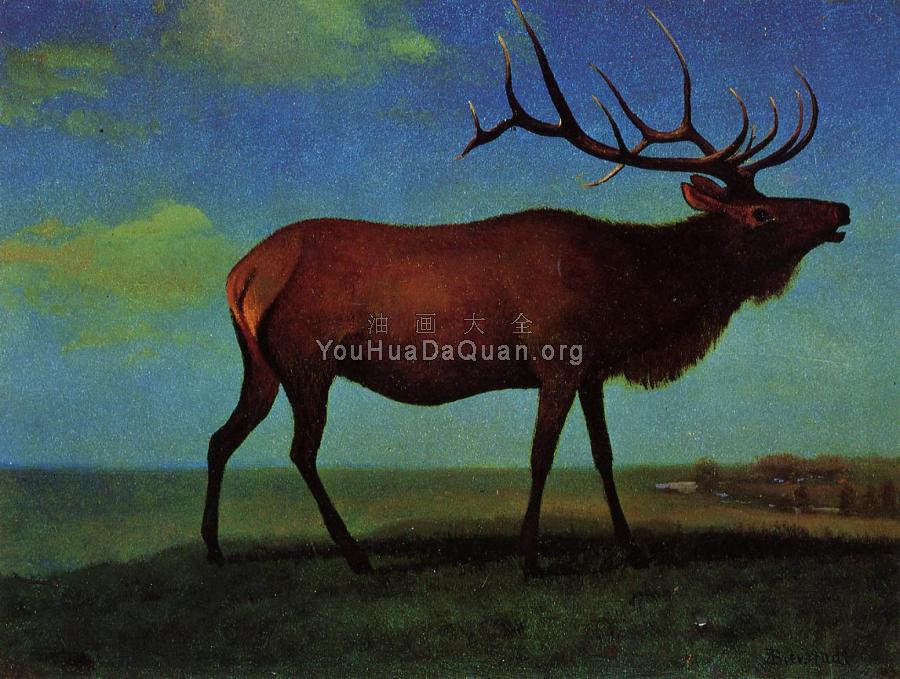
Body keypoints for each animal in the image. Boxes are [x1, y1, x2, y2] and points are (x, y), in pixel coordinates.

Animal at [201, 1, 849, 575]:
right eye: (762, 214)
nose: (840, 209)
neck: (629, 302)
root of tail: (244, 271)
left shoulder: (591, 368)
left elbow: (605, 456)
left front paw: (632, 549)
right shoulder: (556, 358)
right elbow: (541, 456)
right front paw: (530, 557)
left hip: (262, 364)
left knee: (220, 437)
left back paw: (215, 548)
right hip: (307, 358)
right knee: (300, 450)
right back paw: (356, 556)